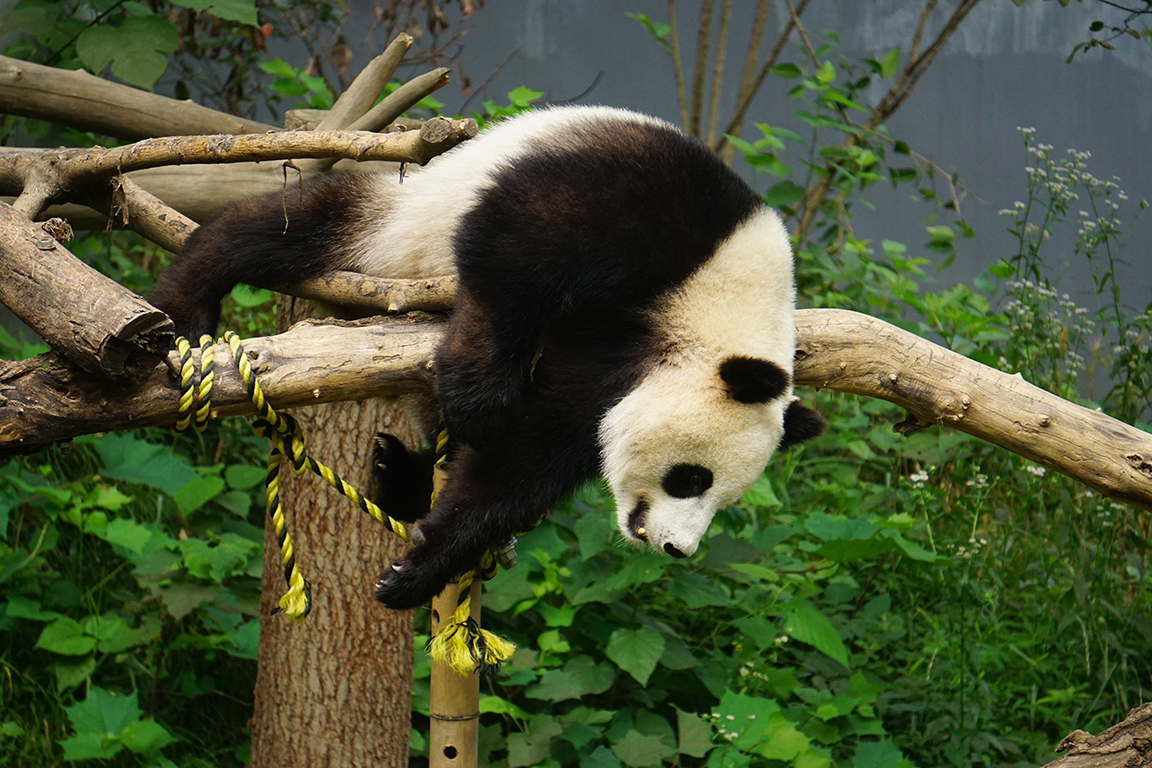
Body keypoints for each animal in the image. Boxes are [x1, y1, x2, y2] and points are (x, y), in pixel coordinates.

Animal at [149, 106, 826, 611]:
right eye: (691, 478)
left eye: (722, 500)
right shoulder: (652, 217)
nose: (677, 549)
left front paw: (419, 568)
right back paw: (187, 299)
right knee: (293, 225)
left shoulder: (611, 368)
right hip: (400, 223)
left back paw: (401, 474)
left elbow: (526, 459)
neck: (721, 310)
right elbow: (518, 241)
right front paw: (479, 399)